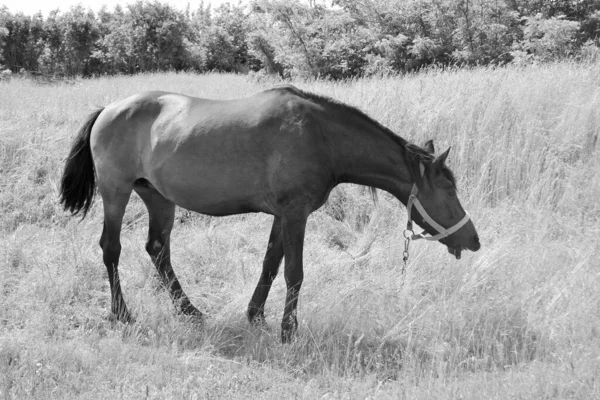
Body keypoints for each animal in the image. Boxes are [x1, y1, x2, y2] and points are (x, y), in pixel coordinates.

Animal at [61, 84, 480, 340]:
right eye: (448, 190)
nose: (473, 240)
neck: (320, 136)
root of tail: (109, 110)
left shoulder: (283, 215)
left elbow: (270, 264)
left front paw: (255, 315)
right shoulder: (296, 214)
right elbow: (294, 273)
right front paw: (288, 331)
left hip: (158, 198)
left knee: (157, 250)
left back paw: (188, 310)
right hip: (116, 193)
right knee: (111, 248)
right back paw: (122, 313)